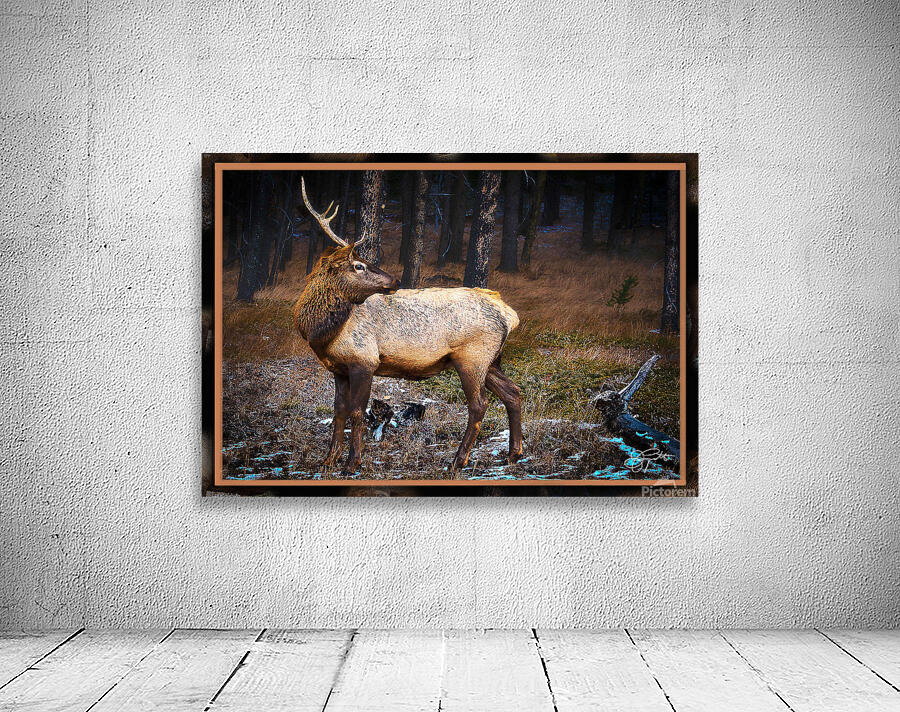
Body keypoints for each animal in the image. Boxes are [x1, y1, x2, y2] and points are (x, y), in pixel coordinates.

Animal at [294, 178, 523, 476]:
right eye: (358, 265)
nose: (394, 280)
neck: (323, 335)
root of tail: (508, 314)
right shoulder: (338, 368)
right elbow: (338, 411)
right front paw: (328, 460)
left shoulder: (364, 360)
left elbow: (356, 412)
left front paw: (352, 462)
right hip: (492, 360)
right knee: (513, 393)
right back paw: (513, 454)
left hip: (472, 357)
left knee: (479, 405)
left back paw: (457, 461)